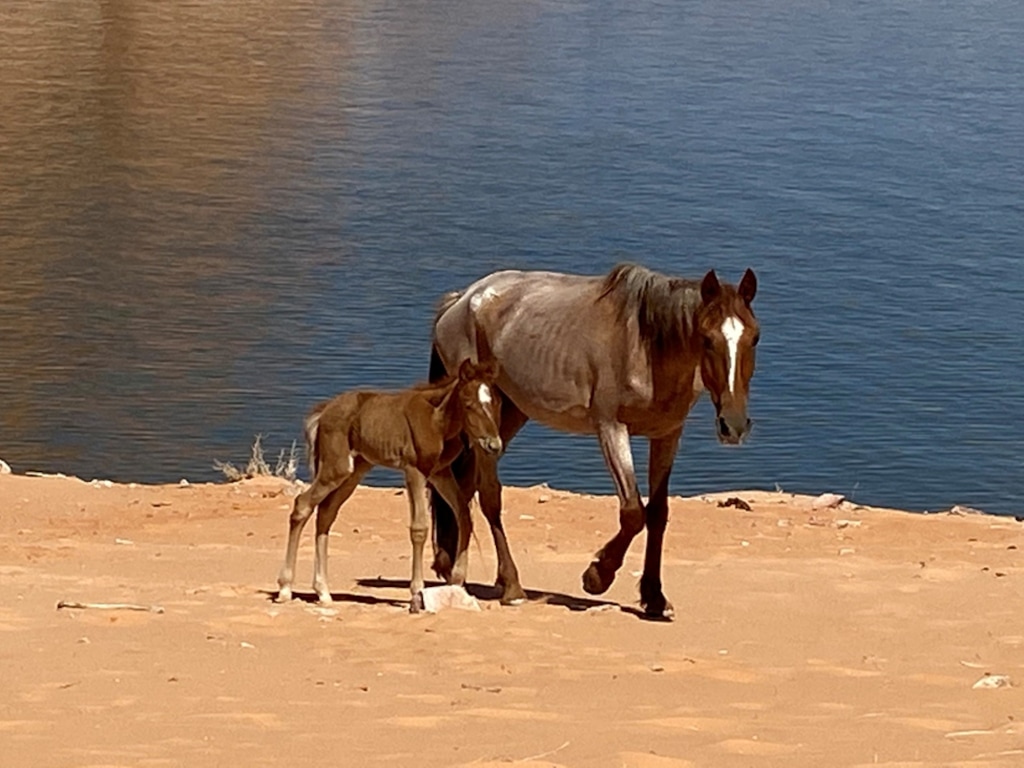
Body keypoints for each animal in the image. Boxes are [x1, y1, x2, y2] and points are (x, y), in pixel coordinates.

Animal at [275, 358, 502, 611]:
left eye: (497, 402)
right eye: (469, 404)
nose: (494, 445)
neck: (437, 421)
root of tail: (325, 411)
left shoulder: (440, 473)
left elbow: (464, 516)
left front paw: (458, 580)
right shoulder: (414, 471)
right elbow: (419, 528)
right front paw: (416, 592)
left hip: (354, 471)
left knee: (325, 513)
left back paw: (323, 592)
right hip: (336, 467)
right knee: (302, 505)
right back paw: (285, 589)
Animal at [428, 263, 758, 619]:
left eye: (755, 337)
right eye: (707, 339)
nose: (733, 425)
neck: (646, 348)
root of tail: (462, 299)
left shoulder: (667, 435)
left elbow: (657, 514)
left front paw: (654, 597)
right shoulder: (611, 428)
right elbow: (633, 513)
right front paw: (598, 575)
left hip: (509, 414)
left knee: (463, 486)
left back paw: (450, 564)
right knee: (490, 497)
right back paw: (511, 585)